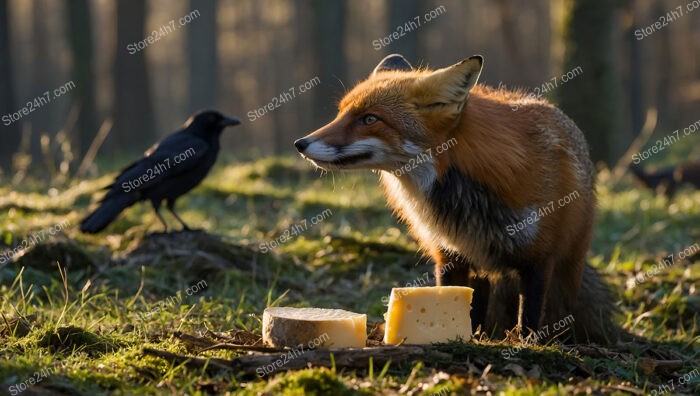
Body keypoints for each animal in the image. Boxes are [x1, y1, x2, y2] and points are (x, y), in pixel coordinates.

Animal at [294, 54, 616, 342]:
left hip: (568, 264)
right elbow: (452, 298)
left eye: (369, 118)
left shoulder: (539, 256)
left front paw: (528, 342)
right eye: (340, 113)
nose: (300, 143)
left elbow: (530, 312)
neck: (467, 197)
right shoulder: (448, 254)